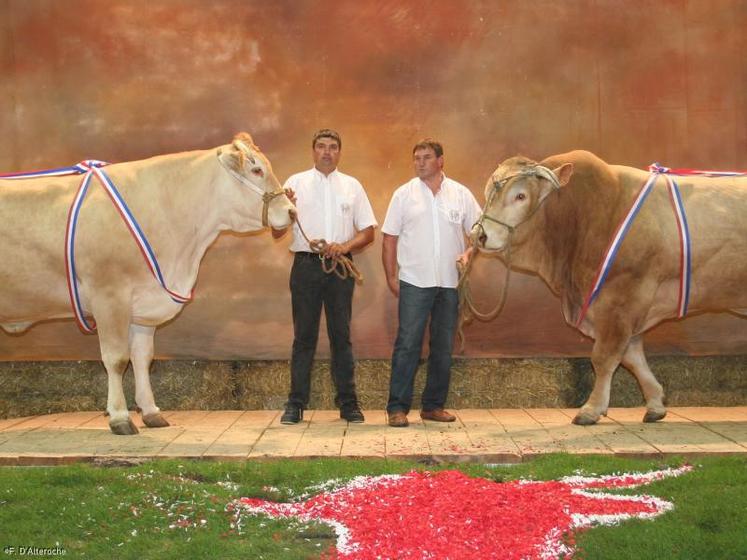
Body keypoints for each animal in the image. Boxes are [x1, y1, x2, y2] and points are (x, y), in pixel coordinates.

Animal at [0, 133, 296, 436]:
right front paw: (120, 417)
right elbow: (117, 358)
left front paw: (151, 412)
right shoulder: (109, 296)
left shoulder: (143, 305)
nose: (291, 212)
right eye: (256, 170)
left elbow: (143, 357)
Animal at [474, 151, 747, 422]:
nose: (480, 235)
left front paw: (591, 408)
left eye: (520, 196)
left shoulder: (621, 299)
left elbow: (604, 357)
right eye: (488, 192)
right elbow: (631, 356)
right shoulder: (627, 308)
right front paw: (655, 403)